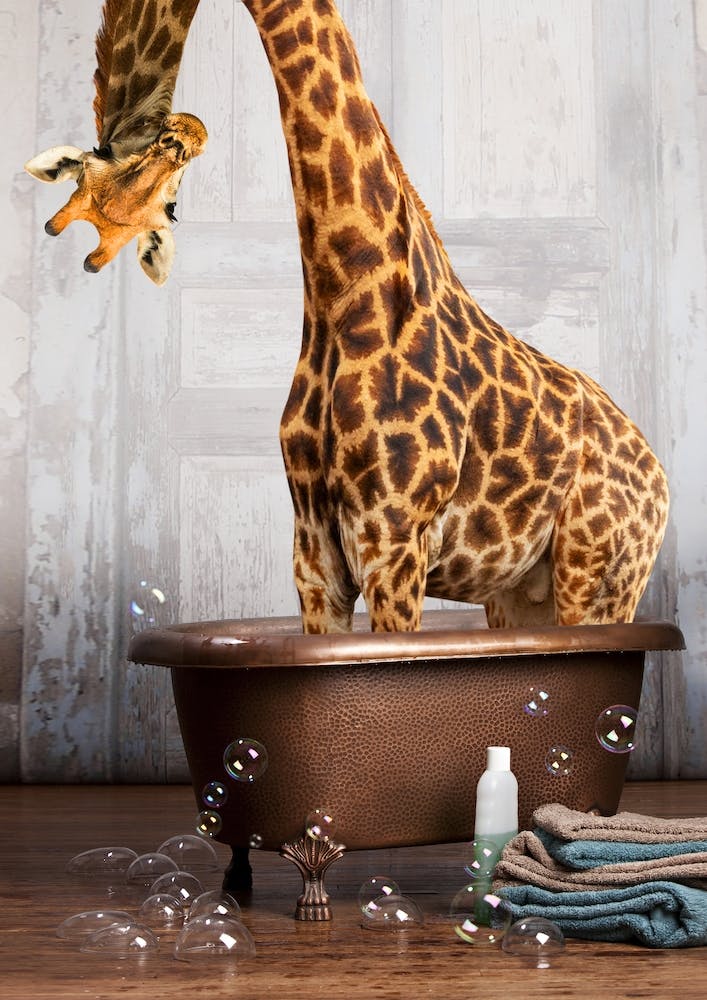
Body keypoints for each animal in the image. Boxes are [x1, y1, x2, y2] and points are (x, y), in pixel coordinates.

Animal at [25, 0, 669, 633]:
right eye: (101, 161)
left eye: (170, 202)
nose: (187, 129)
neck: (348, 295)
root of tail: (662, 479)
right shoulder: (315, 556)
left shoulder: (394, 542)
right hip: (516, 592)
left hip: (597, 580)